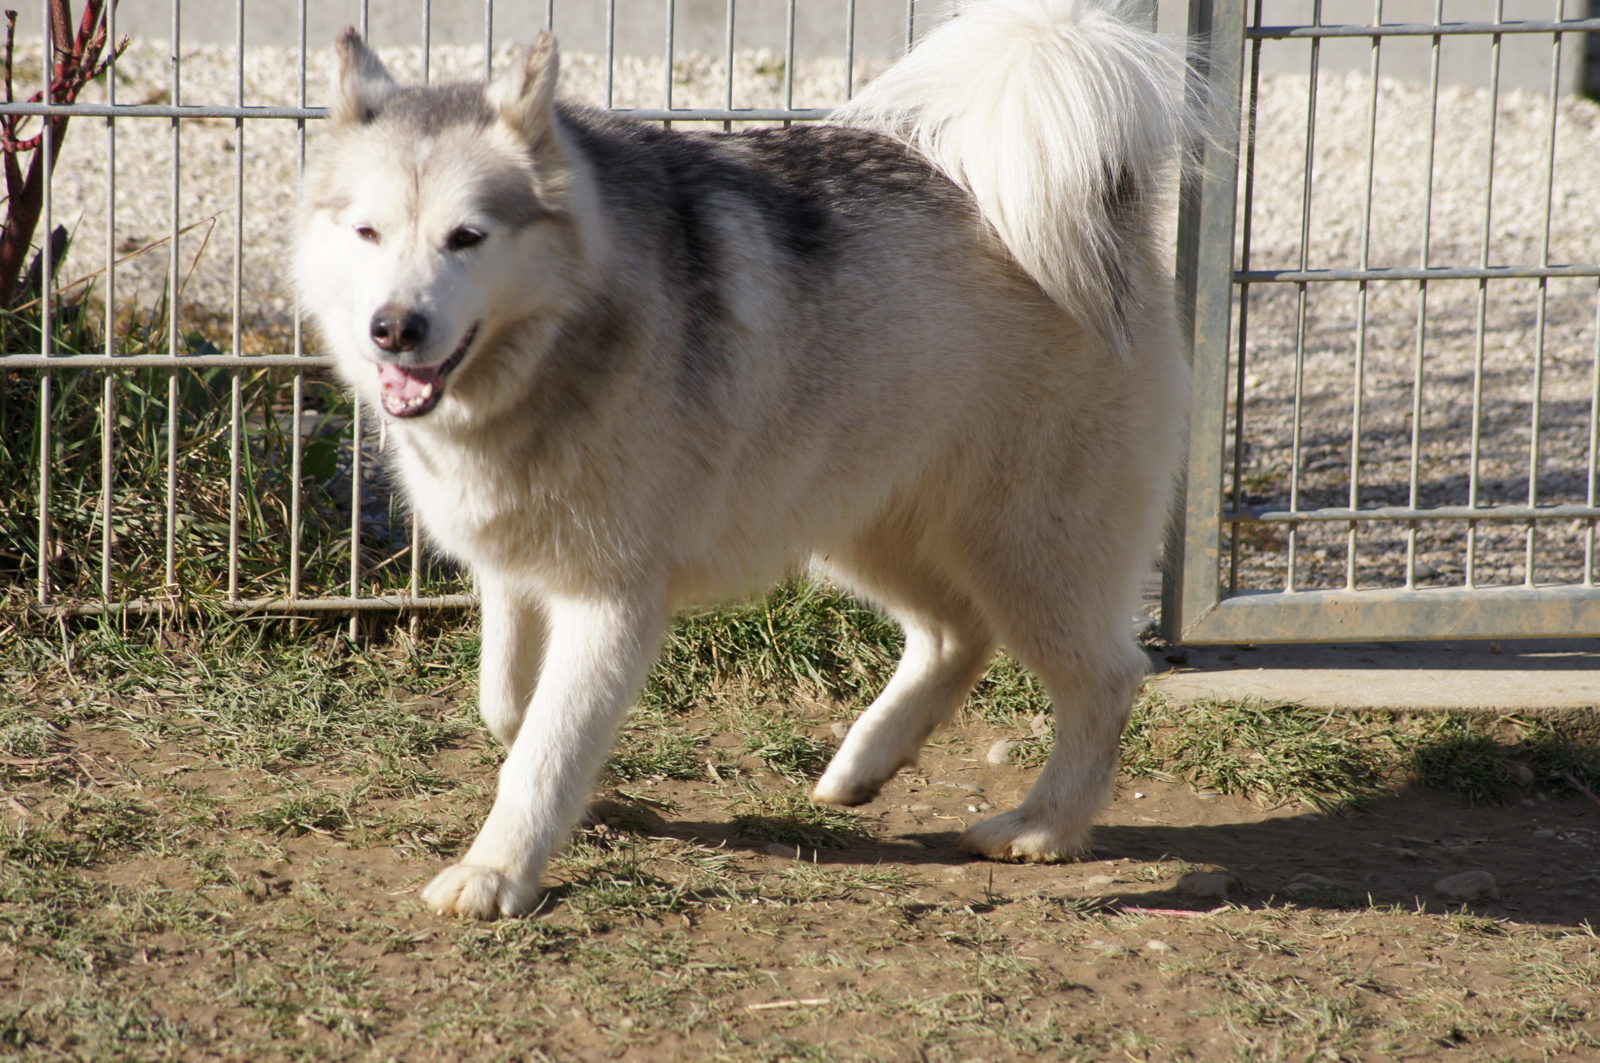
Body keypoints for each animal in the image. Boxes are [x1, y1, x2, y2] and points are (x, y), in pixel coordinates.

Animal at [297, 0, 1203, 915]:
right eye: (369, 231)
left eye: (467, 236)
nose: (394, 328)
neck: (565, 344)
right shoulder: (516, 576)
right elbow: (510, 709)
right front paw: (590, 798)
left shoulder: (612, 599)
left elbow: (547, 743)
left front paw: (496, 870)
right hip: (855, 526)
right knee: (957, 633)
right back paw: (865, 763)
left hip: (1026, 553)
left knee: (1105, 678)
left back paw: (1043, 826)